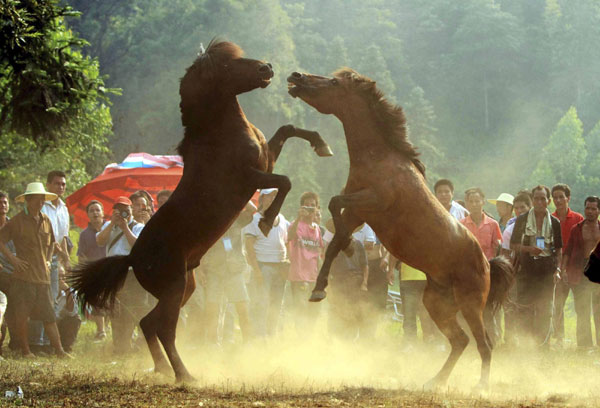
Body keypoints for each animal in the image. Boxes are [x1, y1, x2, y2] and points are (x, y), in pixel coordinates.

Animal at [72, 40, 332, 382]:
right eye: (228, 65)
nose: (267, 68)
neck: (220, 134)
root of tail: (131, 258)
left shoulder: (266, 159)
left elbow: (288, 129)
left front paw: (321, 144)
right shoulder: (250, 177)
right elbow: (284, 182)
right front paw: (266, 221)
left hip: (185, 287)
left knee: (148, 323)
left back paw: (162, 369)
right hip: (175, 288)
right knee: (164, 329)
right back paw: (185, 375)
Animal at [288, 68, 512, 390]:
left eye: (333, 82)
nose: (296, 76)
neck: (378, 158)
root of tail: (487, 262)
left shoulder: (374, 201)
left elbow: (333, 204)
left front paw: (349, 249)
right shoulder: (358, 211)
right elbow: (333, 238)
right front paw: (320, 287)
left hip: (471, 304)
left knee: (484, 344)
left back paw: (480, 385)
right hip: (436, 303)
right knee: (460, 341)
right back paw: (434, 381)